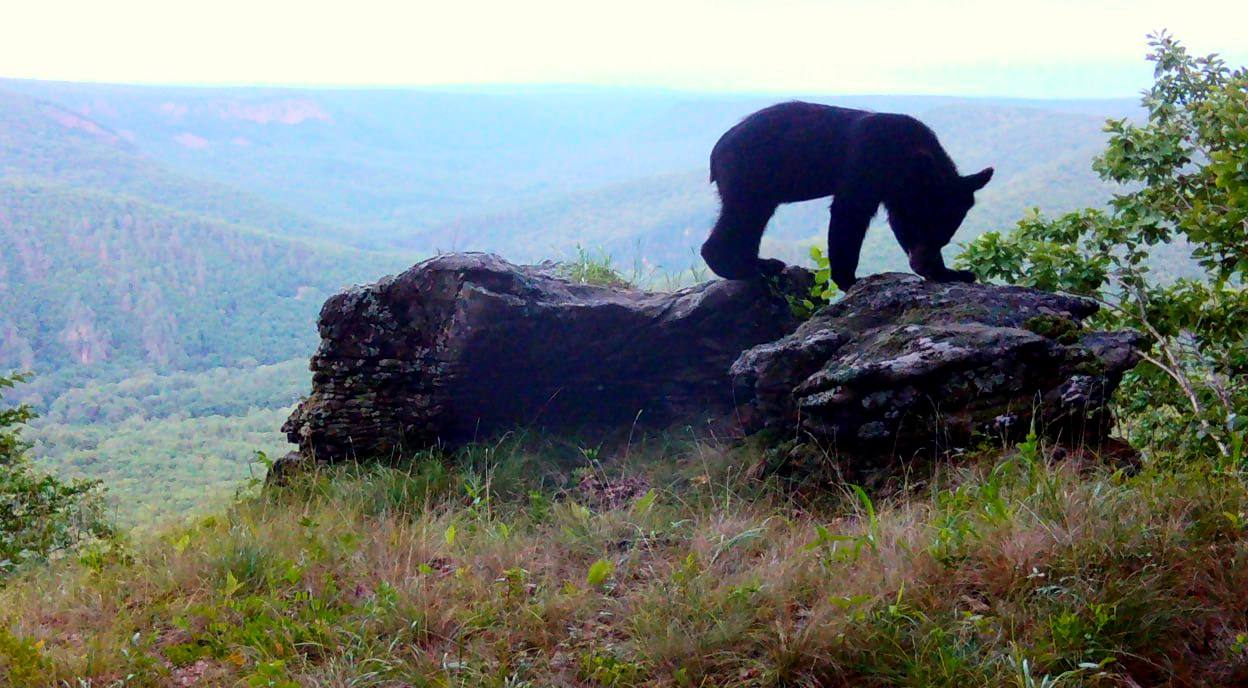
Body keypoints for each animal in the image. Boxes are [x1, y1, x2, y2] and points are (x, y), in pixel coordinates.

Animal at [703, 101, 993, 289]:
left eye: (945, 236)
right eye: (926, 225)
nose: (921, 262)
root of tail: (716, 151)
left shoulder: (897, 192)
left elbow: (895, 221)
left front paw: (951, 273)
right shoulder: (866, 164)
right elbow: (849, 213)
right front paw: (851, 279)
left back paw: (758, 264)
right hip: (752, 176)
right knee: (743, 217)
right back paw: (747, 266)